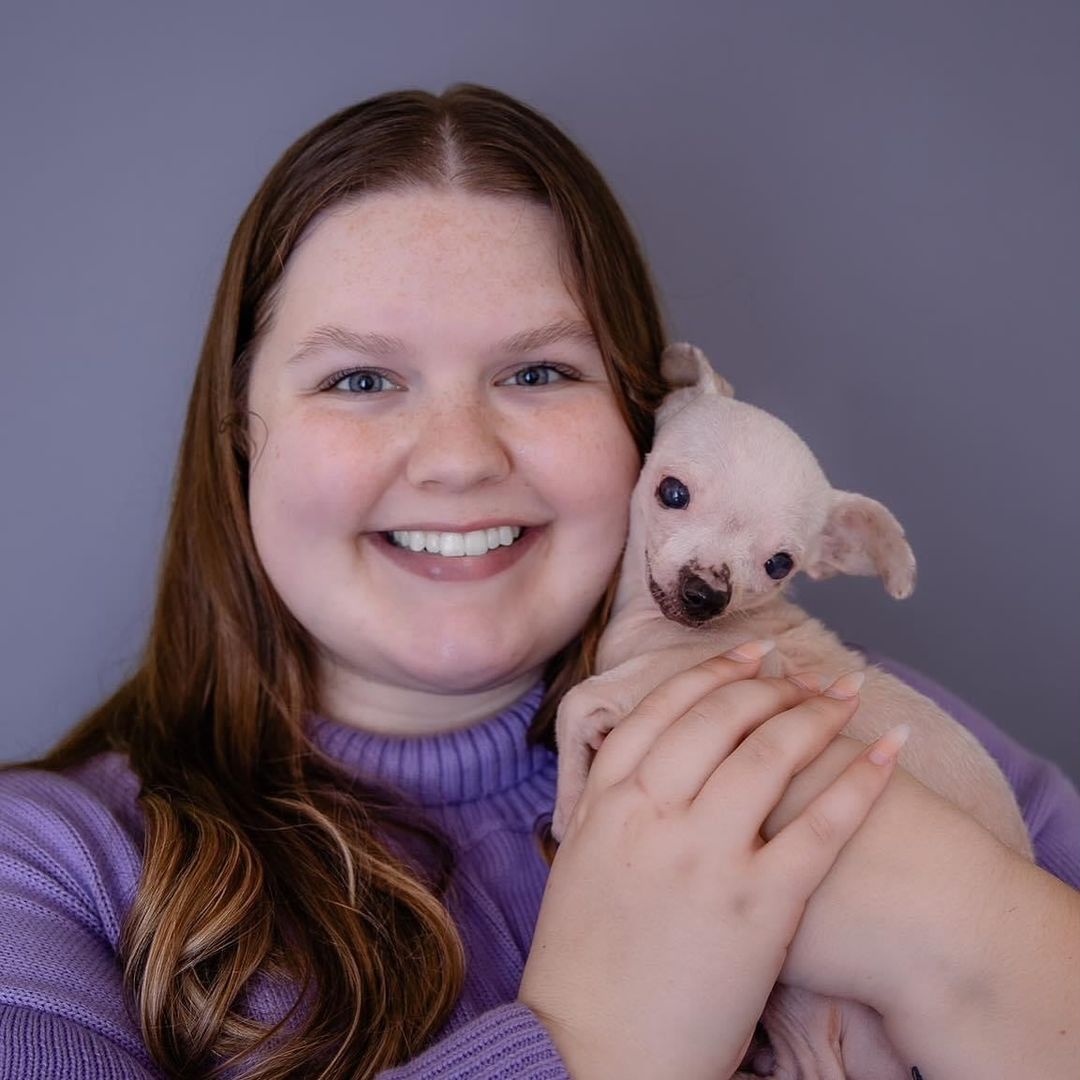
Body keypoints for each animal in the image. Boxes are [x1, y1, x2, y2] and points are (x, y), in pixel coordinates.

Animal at [552, 343, 1032, 1080]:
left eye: (780, 564)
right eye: (671, 492)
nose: (705, 594)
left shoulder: (710, 671)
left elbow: (577, 702)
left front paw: (569, 806)